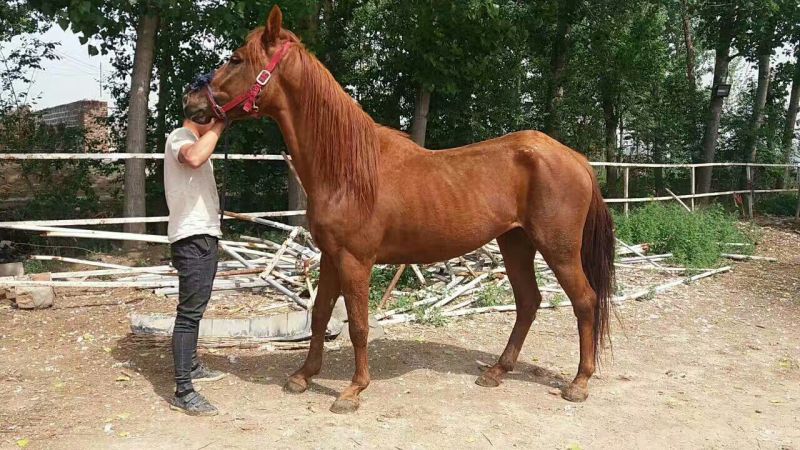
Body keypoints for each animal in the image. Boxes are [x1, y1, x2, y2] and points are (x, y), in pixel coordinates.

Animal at [183, 5, 615, 414]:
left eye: (236, 59)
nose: (191, 102)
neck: (347, 169)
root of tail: (575, 158)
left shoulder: (355, 260)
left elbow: (358, 324)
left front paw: (353, 391)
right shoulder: (329, 256)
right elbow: (320, 314)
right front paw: (303, 376)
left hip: (558, 249)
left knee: (584, 301)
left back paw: (579, 382)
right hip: (516, 244)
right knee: (528, 302)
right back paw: (496, 372)